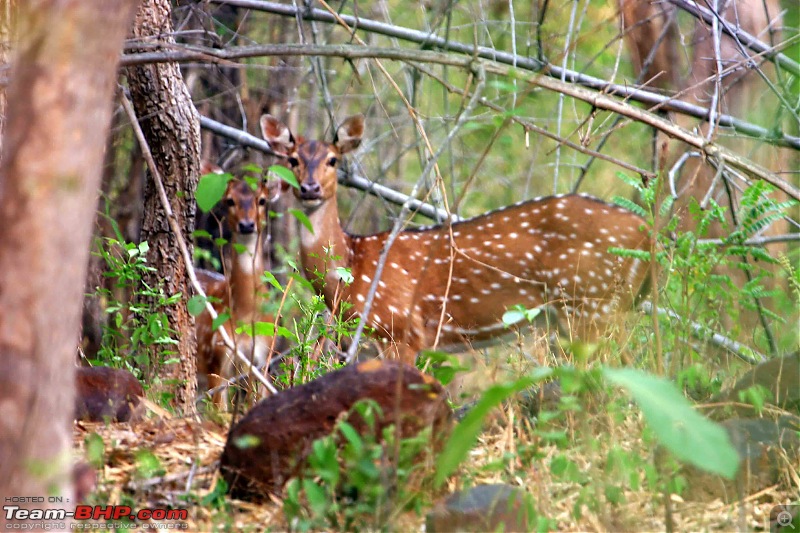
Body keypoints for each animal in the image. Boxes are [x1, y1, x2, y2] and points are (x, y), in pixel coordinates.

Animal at [195, 179, 276, 408]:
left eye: (262, 200)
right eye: (229, 200)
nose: (247, 225)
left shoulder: (263, 357)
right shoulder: (217, 356)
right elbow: (220, 410)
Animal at [262, 114, 648, 364]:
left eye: (332, 160)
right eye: (292, 159)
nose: (309, 188)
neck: (351, 267)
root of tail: (647, 231)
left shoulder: (401, 330)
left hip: (591, 301)